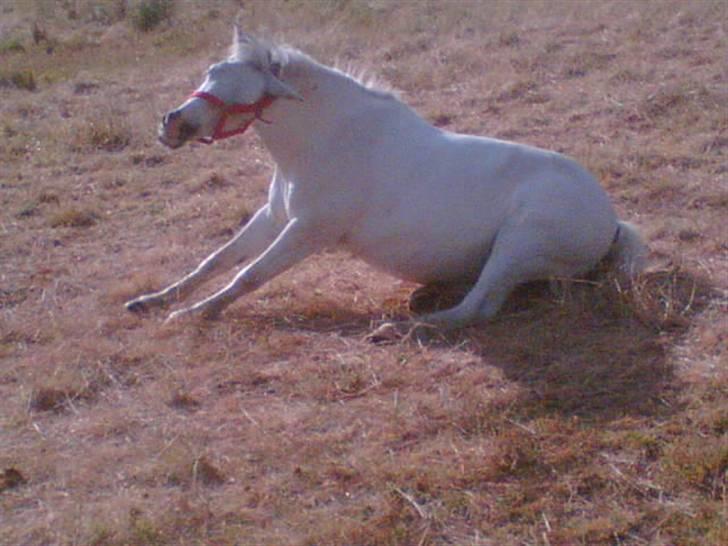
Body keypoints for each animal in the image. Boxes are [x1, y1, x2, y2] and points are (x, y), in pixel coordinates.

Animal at [125, 27, 646, 336]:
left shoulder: (307, 232)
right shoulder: (274, 218)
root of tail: (611, 224)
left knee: (477, 309)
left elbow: (248, 275)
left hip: (516, 247)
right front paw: (150, 302)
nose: (172, 124)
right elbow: (216, 261)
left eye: (241, 92)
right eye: (211, 72)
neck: (327, 141)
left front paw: (192, 315)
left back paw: (398, 329)